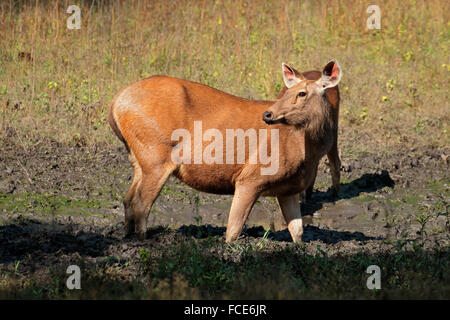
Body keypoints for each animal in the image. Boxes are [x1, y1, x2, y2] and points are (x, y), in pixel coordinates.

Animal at [109, 59, 342, 242]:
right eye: (288, 92)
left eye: (302, 93)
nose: (268, 114)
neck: (306, 153)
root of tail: (116, 103)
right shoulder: (251, 177)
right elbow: (233, 231)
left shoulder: (289, 188)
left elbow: (298, 232)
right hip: (155, 155)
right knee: (140, 203)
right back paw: (143, 241)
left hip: (138, 157)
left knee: (128, 199)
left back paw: (126, 238)